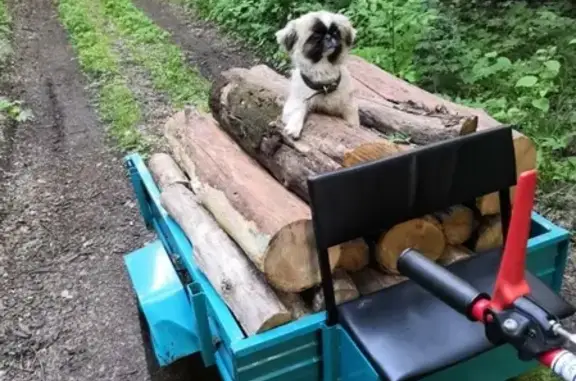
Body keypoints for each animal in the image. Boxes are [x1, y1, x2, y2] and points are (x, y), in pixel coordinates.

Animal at [276, 11, 360, 140]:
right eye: (316, 35)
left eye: (336, 33)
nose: (329, 36)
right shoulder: (298, 99)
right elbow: (298, 110)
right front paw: (294, 128)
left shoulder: (348, 105)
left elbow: (352, 119)